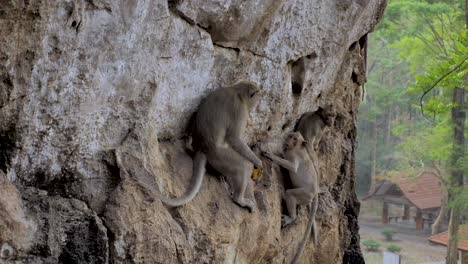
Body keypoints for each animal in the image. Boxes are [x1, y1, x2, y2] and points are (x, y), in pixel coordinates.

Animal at [161, 81, 264, 212]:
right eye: (257, 97)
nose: (256, 104)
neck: (237, 91)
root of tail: (202, 147)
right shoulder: (240, 111)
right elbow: (234, 139)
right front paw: (258, 162)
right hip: (219, 156)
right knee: (243, 166)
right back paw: (239, 199)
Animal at [264, 133, 318, 264]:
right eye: (291, 135)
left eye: (294, 138)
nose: (289, 137)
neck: (296, 147)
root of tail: (315, 194)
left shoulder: (294, 156)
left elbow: (292, 167)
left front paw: (271, 155)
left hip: (304, 194)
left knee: (290, 195)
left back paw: (291, 216)